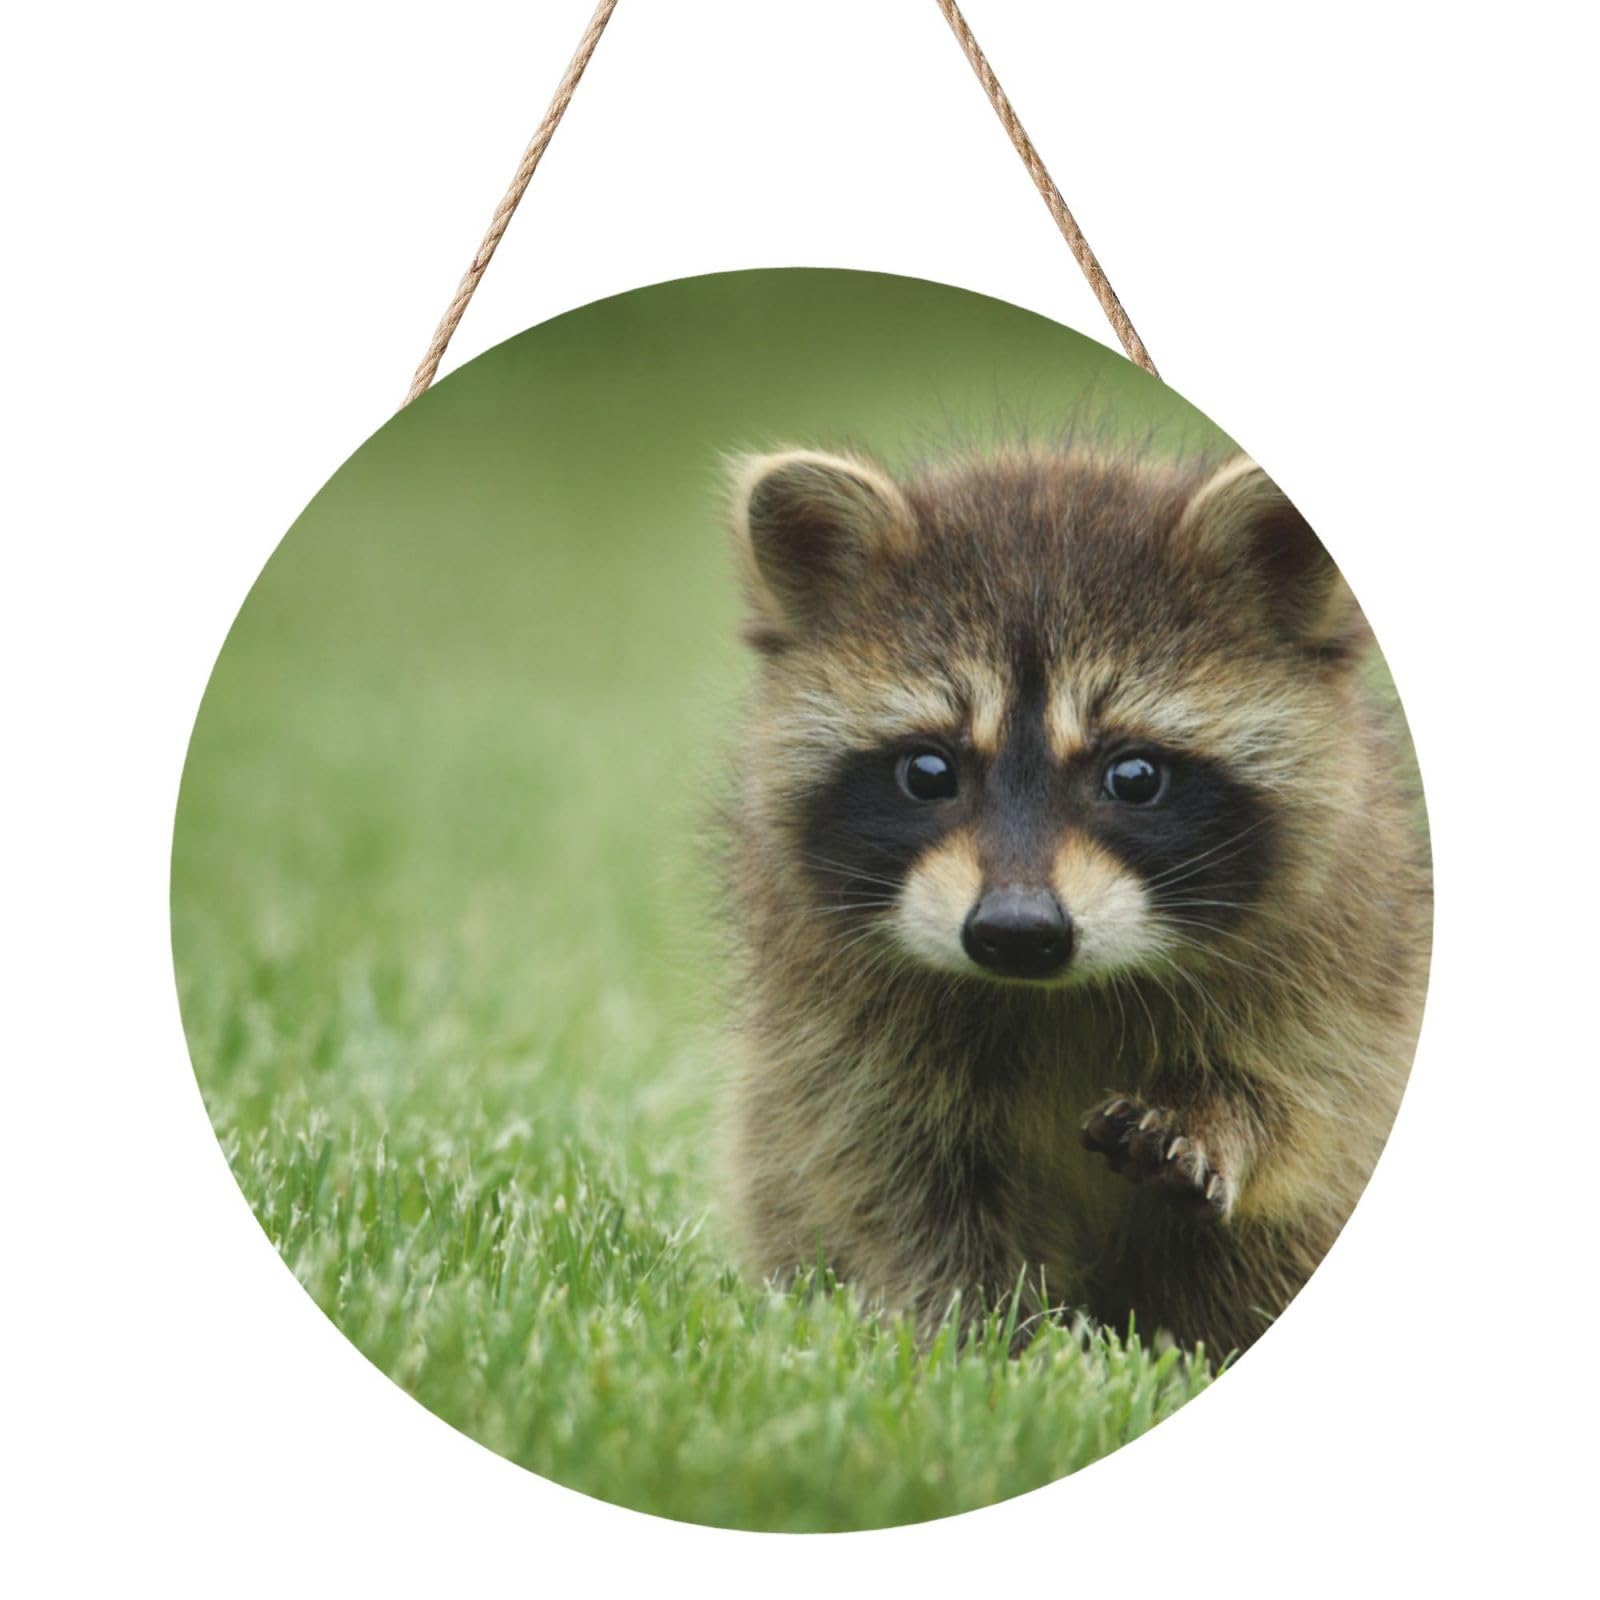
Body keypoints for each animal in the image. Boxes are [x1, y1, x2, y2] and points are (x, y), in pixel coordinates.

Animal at [720, 441, 1431, 1356]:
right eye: (929, 772)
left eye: (1134, 777)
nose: (1017, 931)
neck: (1053, 993)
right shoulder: (838, 1031)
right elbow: (896, 1182)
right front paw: (987, 1341)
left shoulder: (1343, 959)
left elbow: (1311, 1105)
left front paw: (1219, 1116)